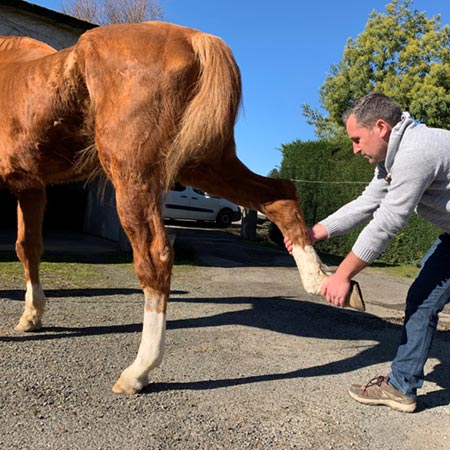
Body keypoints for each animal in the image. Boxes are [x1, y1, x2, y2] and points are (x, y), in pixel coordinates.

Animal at [0, 22, 358, 394]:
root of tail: (196, 39)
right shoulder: (30, 186)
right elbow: (28, 247)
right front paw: (31, 317)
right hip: (207, 163)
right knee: (280, 194)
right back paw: (321, 280)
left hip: (135, 176)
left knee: (155, 258)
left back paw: (138, 371)